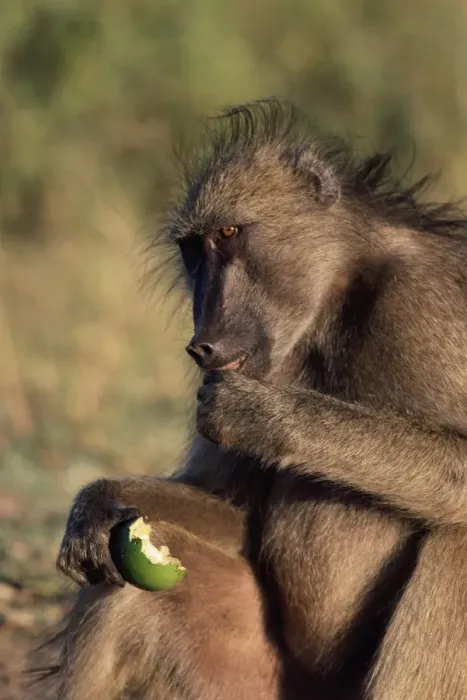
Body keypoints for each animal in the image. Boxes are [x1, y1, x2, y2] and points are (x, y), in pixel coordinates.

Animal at [28, 99, 467, 700]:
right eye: (193, 250)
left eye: (231, 231)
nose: (202, 344)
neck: (334, 304)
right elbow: (238, 517)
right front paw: (97, 503)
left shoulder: (427, 303)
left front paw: (263, 415)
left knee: (453, 535)